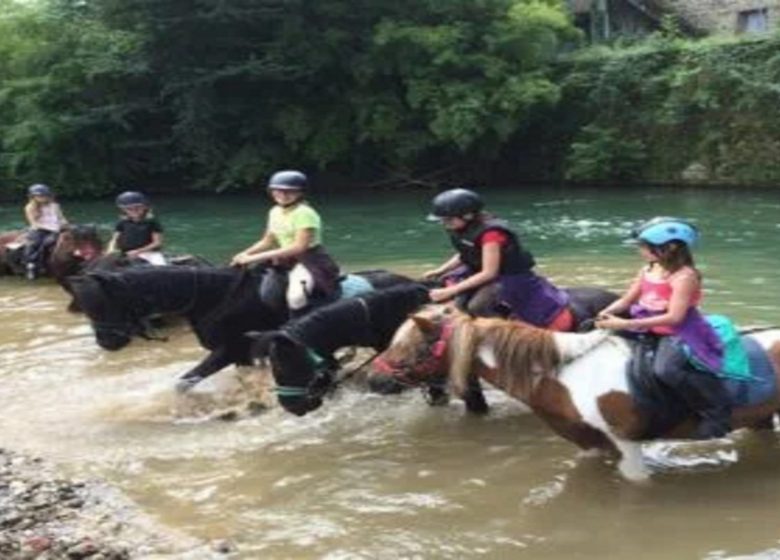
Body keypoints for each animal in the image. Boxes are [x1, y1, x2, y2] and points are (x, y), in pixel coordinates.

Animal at [68, 266, 414, 390]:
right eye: (84, 307)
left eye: (102, 304)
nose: (107, 342)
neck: (216, 299)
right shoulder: (241, 356)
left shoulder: (227, 350)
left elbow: (185, 382)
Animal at [368, 308, 780, 480]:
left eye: (410, 346)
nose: (373, 380)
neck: (567, 374)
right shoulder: (592, 444)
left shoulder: (627, 444)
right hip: (761, 418)